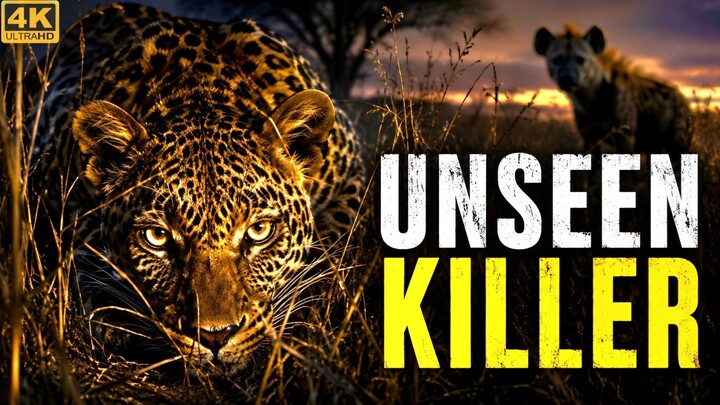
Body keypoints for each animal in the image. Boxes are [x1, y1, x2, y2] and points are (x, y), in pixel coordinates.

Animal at [27, 3, 364, 374]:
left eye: (260, 231)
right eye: (156, 237)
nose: (215, 335)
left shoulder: (351, 180)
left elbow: (332, 247)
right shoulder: (49, 198)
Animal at [534, 23, 692, 154]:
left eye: (580, 59)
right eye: (556, 59)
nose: (567, 78)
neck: (592, 103)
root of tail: (683, 98)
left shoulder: (625, 135)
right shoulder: (589, 137)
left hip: (678, 135)